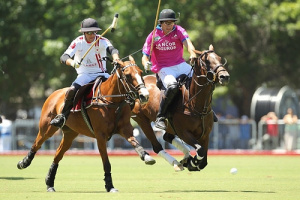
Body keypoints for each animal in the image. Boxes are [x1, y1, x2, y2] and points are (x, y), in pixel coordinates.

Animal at [17, 56, 155, 192]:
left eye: (141, 72)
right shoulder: (100, 135)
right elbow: (106, 163)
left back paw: (49, 183)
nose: (145, 96)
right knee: (37, 144)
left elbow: (135, 142)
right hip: (47, 128)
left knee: (57, 155)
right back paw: (23, 163)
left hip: (70, 134)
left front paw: (146, 157)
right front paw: (110, 186)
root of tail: (53, 94)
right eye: (127, 75)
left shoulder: (125, 129)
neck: (112, 100)